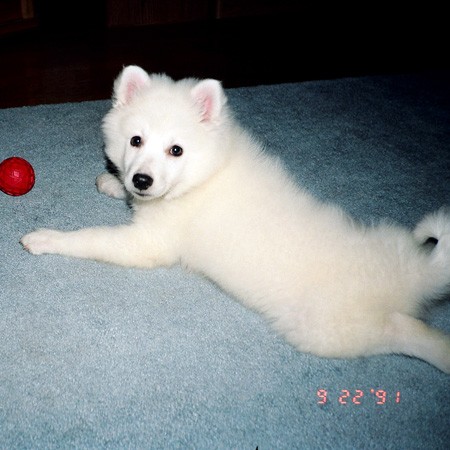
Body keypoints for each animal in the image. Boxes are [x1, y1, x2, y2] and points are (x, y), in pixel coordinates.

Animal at [21, 64, 450, 372]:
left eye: (176, 150)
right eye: (135, 141)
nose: (141, 180)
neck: (205, 174)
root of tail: (406, 276)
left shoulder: (148, 244)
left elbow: (91, 237)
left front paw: (46, 238)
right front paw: (114, 183)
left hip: (329, 330)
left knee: (405, 332)